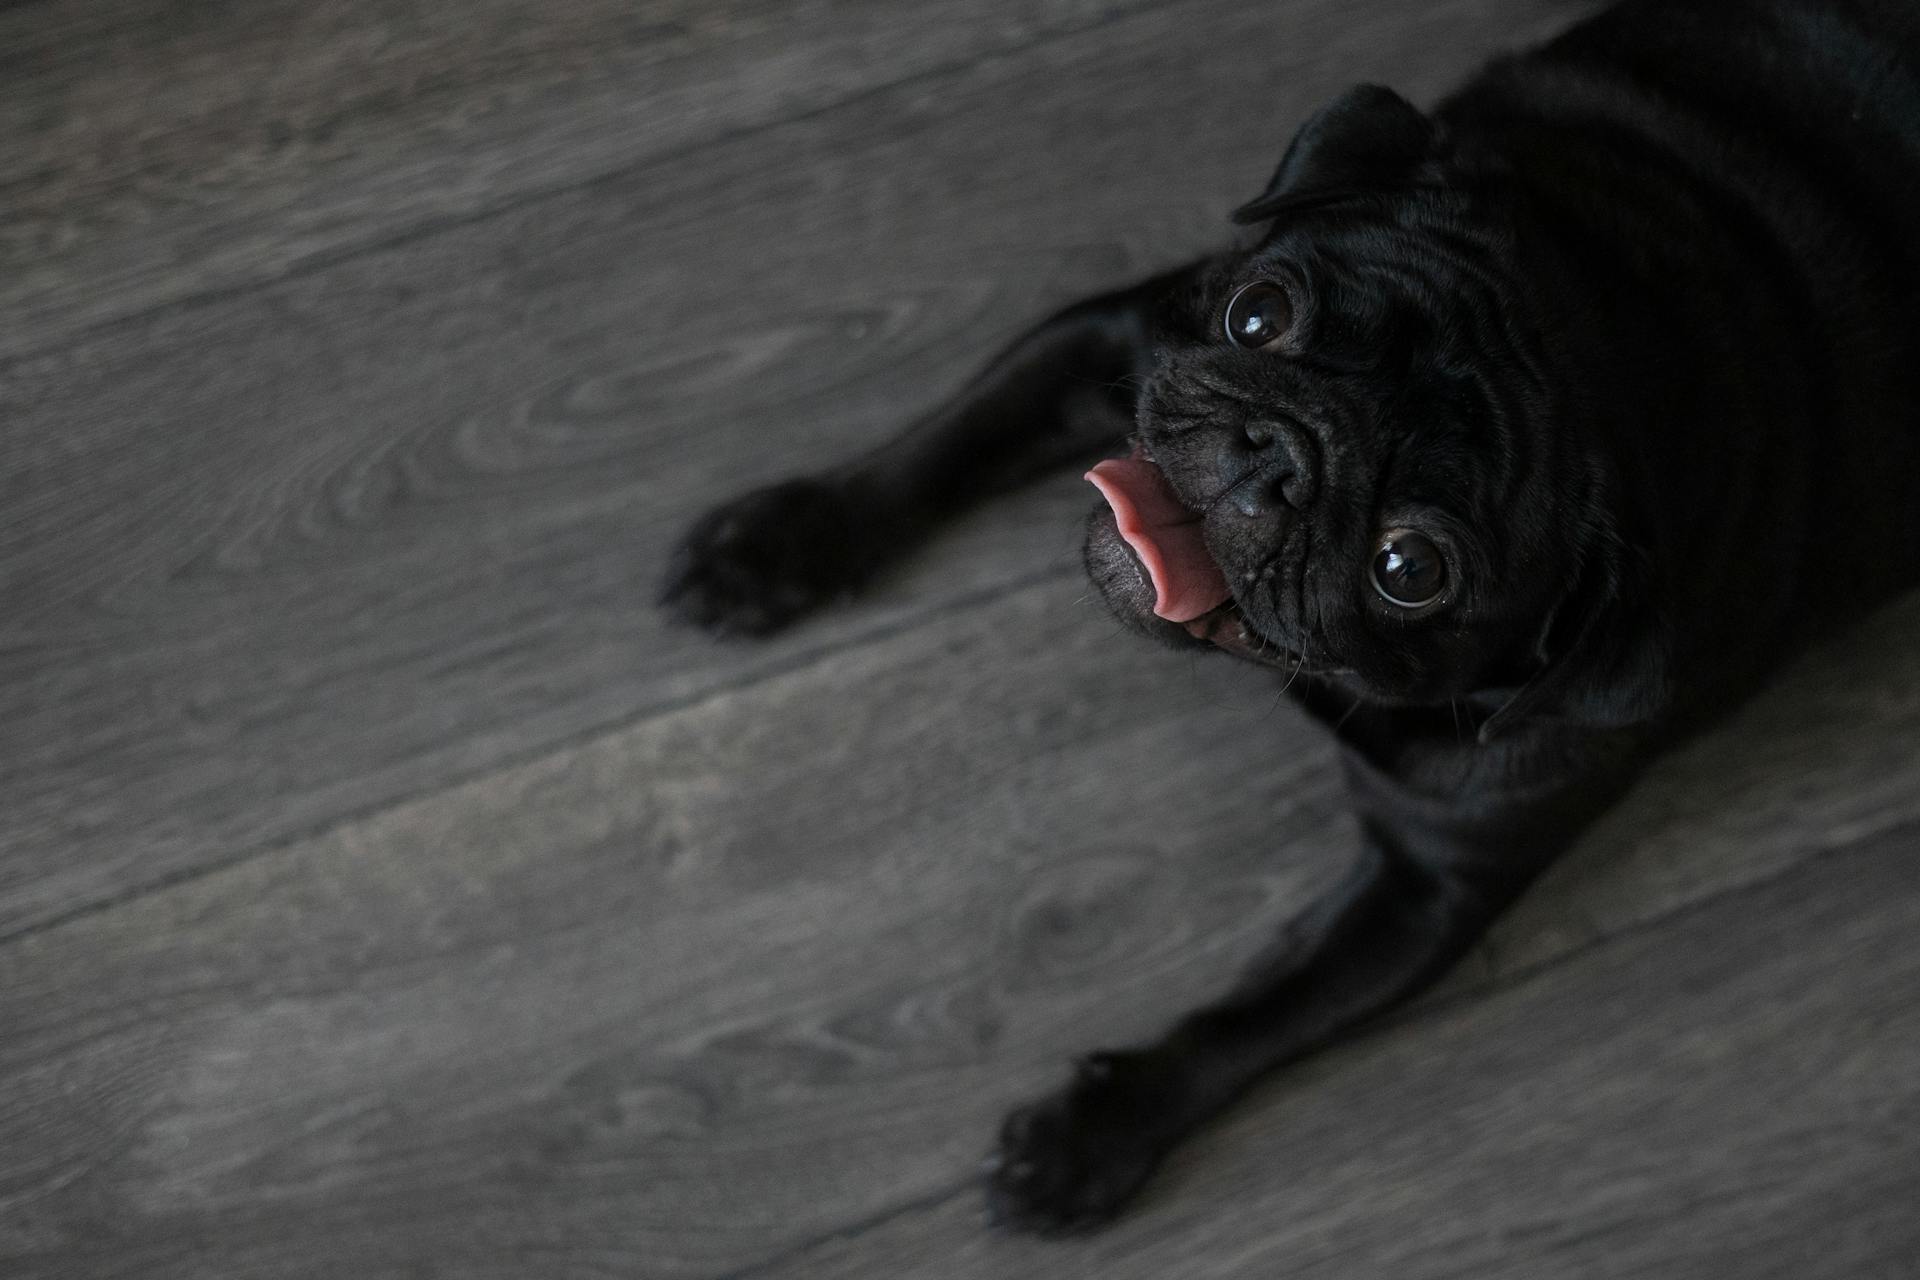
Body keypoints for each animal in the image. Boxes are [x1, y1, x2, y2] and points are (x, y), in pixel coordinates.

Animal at [660, 0, 1920, 1243]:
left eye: (1411, 567)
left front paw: (1094, 1132)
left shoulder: (1428, 885)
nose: (1285, 455)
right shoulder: (1115, 338)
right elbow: (945, 444)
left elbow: (1248, 1021)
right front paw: (787, 540)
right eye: (1259, 313)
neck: (1614, 320)